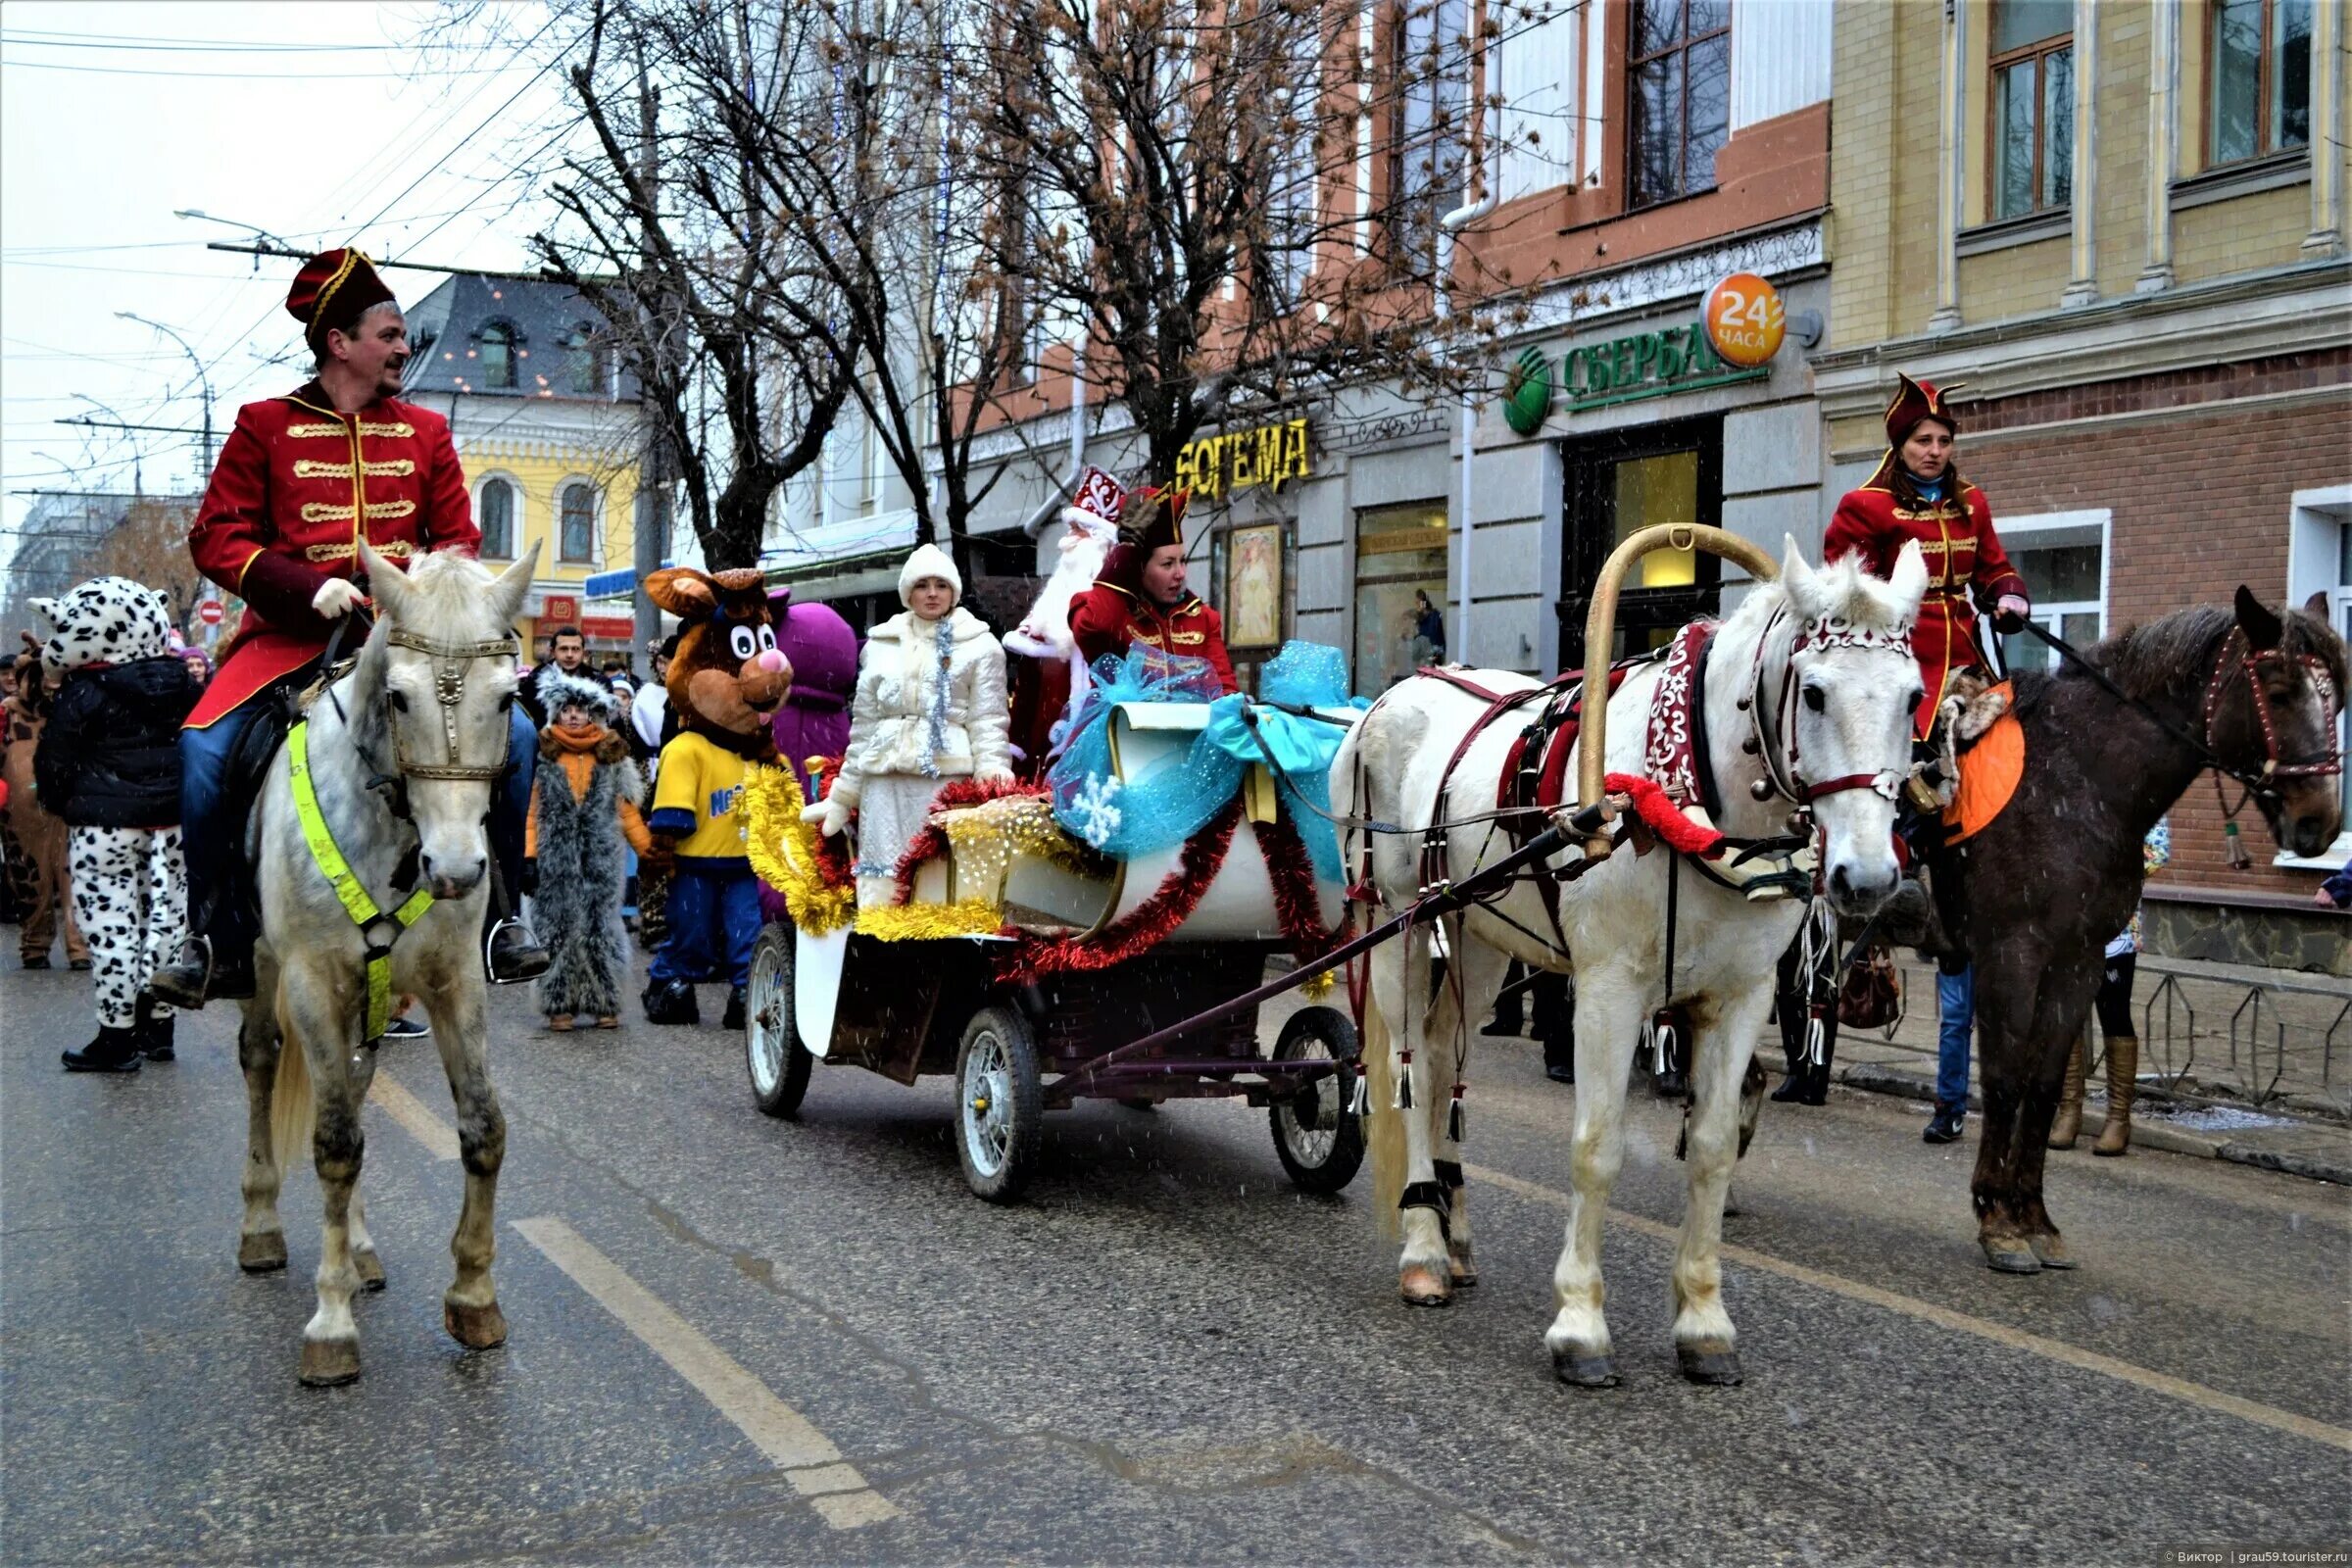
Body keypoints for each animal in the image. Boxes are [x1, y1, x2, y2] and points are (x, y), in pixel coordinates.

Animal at [232, 540, 538, 1382]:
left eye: (508, 699)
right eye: (399, 699)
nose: (457, 869)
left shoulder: (454, 983)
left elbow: (483, 1128)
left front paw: (475, 1298)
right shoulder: (312, 981)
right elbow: (335, 1144)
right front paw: (331, 1324)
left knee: (358, 1086)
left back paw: (363, 1248)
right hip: (264, 972)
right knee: (263, 1063)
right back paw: (261, 1224)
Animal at [1336, 535, 1919, 1382]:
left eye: (1913, 696)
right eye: (1812, 693)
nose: (1867, 879)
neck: (1689, 795)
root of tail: (1389, 697)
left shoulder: (1739, 998)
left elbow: (1713, 1149)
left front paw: (1704, 1322)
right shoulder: (1607, 991)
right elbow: (1597, 1146)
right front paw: (1580, 1324)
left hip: (1477, 938)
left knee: (1444, 1063)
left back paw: (1454, 1227)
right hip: (1399, 927)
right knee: (1409, 1072)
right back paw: (1422, 1246)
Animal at [1947, 587, 2332, 1278]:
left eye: (2335, 693)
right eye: (2279, 689)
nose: (2321, 821)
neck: (2076, 779)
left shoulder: (2078, 960)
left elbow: (2044, 1084)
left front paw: (2035, 1221)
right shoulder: (2010, 954)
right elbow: (2003, 1080)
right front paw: (1997, 1224)